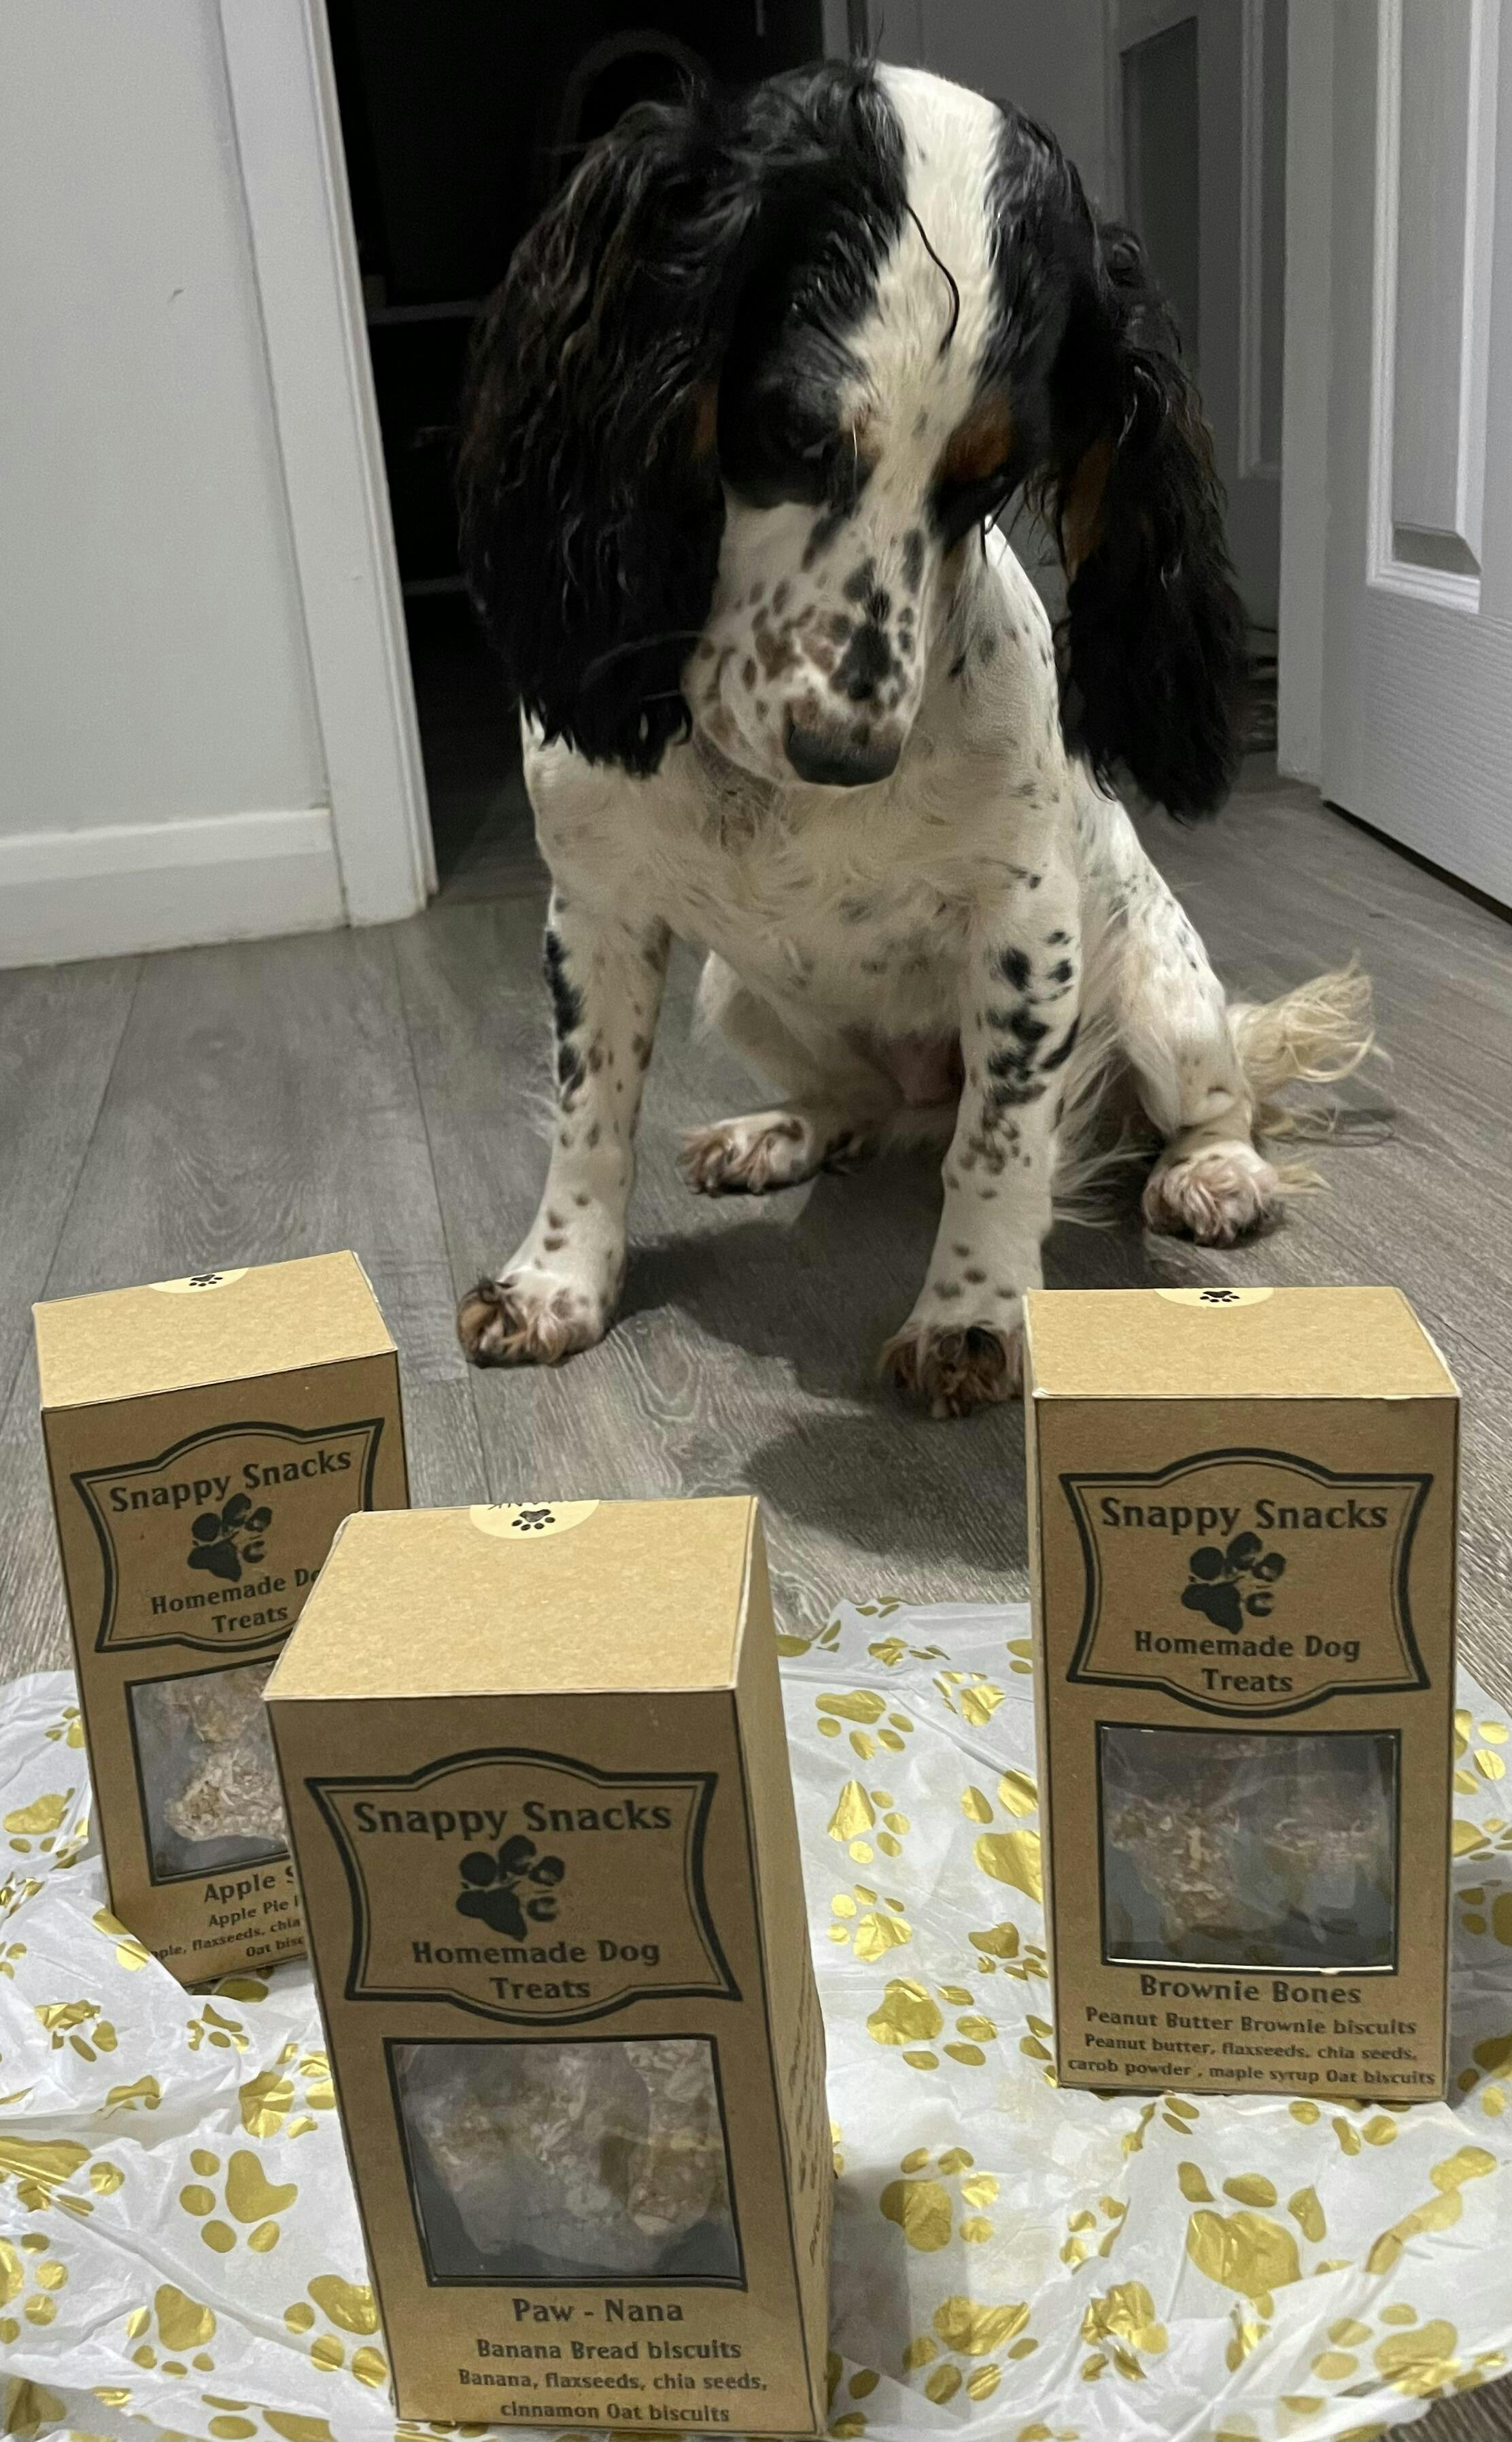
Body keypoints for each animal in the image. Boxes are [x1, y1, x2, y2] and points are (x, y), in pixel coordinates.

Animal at [454, 59, 1369, 1417]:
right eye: (788, 429)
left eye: (987, 482)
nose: (844, 753)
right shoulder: (596, 908)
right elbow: (590, 1111)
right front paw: (556, 1281)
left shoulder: (1024, 931)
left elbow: (997, 1152)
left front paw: (969, 1319)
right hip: (740, 994)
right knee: (857, 1107)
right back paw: (778, 1133)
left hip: (1158, 995)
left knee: (1205, 1097)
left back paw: (1211, 1173)